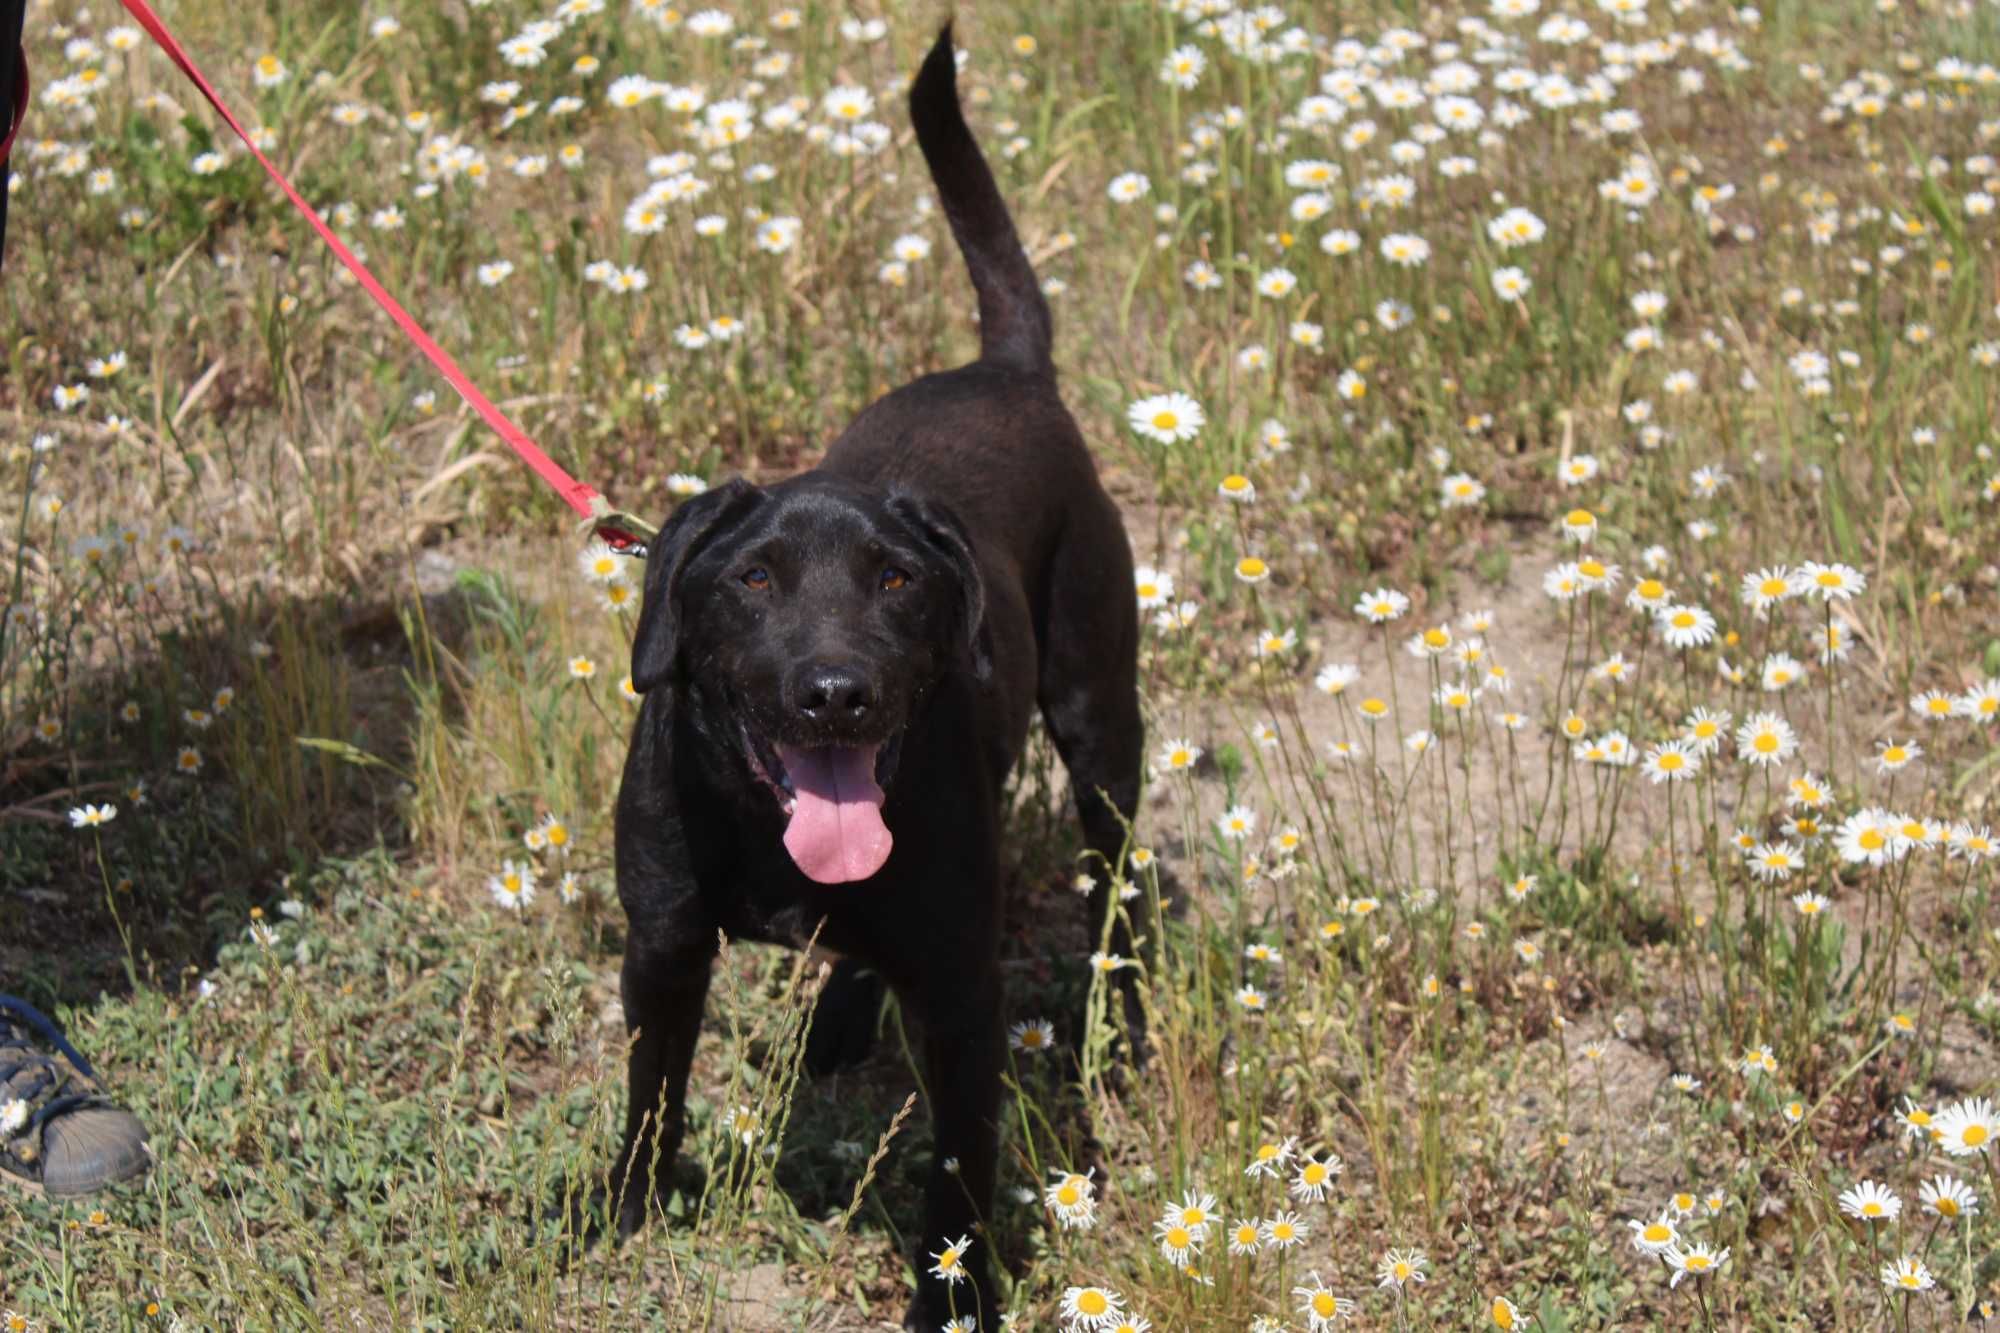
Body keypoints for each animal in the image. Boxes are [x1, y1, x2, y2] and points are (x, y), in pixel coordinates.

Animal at [604, 23, 1144, 1328]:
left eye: (897, 580)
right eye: (752, 579)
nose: (835, 692)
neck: (766, 831)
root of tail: (1009, 370)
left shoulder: (958, 992)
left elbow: (958, 1160)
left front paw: (953, 1295)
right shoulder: (662, 947)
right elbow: (650, 1092)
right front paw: (622, 1215)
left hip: (1099, 719)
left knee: (1118, 883)